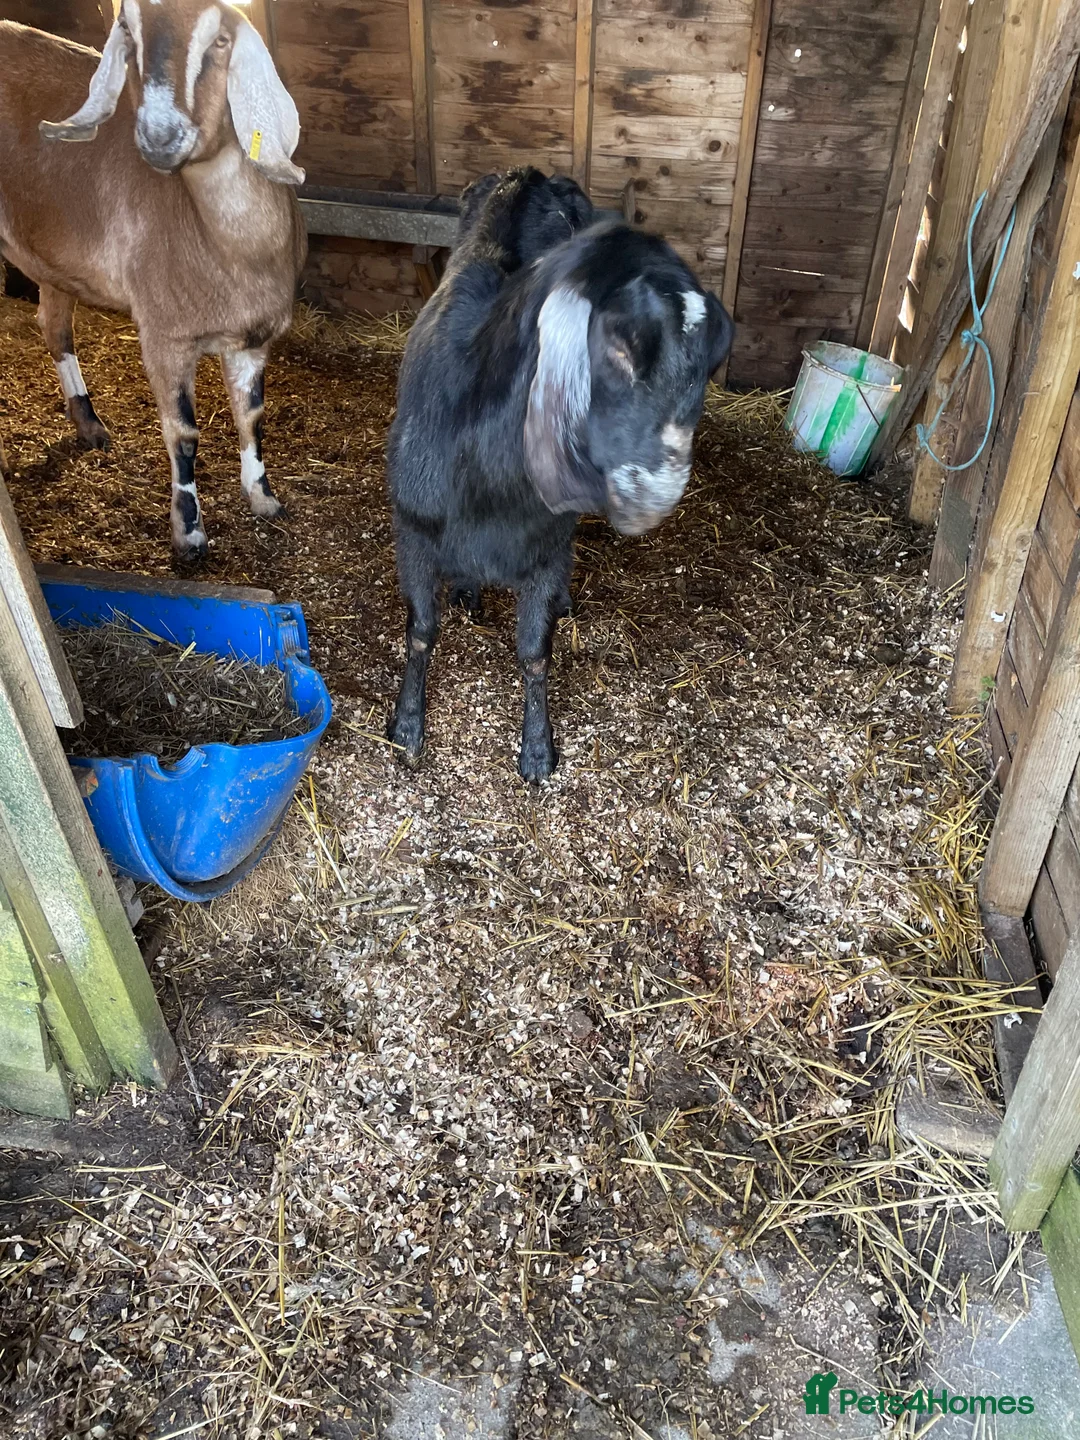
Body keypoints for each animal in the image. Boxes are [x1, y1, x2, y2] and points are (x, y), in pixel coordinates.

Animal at [0, 2, 307, 562]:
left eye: (220, 40)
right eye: (131, 33)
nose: (159, 137)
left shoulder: (254, 340)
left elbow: (252, 418)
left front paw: (264, 499)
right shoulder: (164, 336)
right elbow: (183, 434)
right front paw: (189, 534)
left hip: (53, 259)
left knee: (53, 325)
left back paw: (89, 424)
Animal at [387, 167, 734, 782]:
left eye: (709, 359)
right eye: (616, 344)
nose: (660, 487)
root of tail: (529, 175)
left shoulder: (546, 550)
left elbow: (533, 652)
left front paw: (537, 750)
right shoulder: (413, 533)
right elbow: (422, 633)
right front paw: (406, 727)